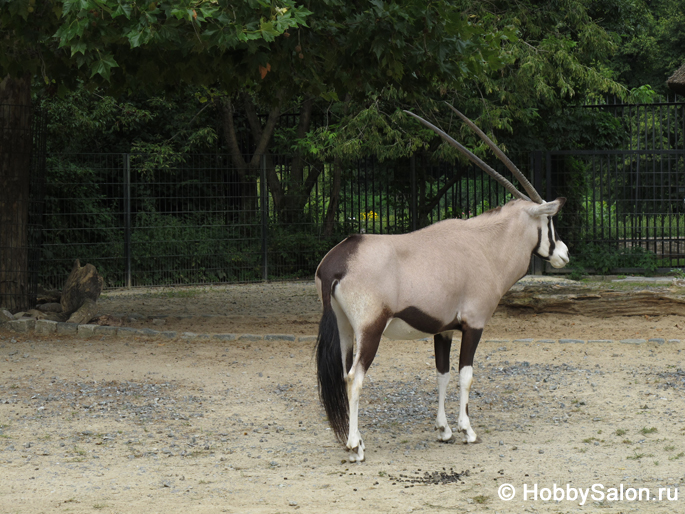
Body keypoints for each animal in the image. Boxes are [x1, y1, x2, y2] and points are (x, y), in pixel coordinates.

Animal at [314, 105, 568, 460]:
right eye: (549, 221)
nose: (564, 254)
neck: (484, 245)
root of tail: (336, 262)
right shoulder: (474, 324)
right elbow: (466, 376)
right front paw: (467, 430)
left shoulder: (444, 330)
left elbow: (442, 375)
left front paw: (443, 430)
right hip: (370, 329)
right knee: (354, 378)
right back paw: (355, 447)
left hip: (345, 329)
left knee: (342, 374)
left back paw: (358, 441)